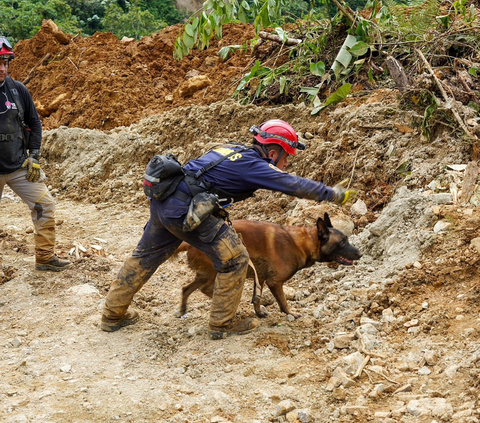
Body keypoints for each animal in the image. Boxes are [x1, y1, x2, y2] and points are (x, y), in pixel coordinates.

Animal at [175, 214, 360, 320]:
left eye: (346, 239)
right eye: (342, 242)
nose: (359, 253)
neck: (303, 242)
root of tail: (189, 242)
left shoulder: (261, 278)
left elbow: (257, 298)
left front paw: (258, 313)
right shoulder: (275, 282)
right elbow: (283, 302)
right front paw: (291, 313)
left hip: (205, 274)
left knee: (186, 288)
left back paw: (183, 310)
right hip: (217, 272)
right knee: (207, 289)